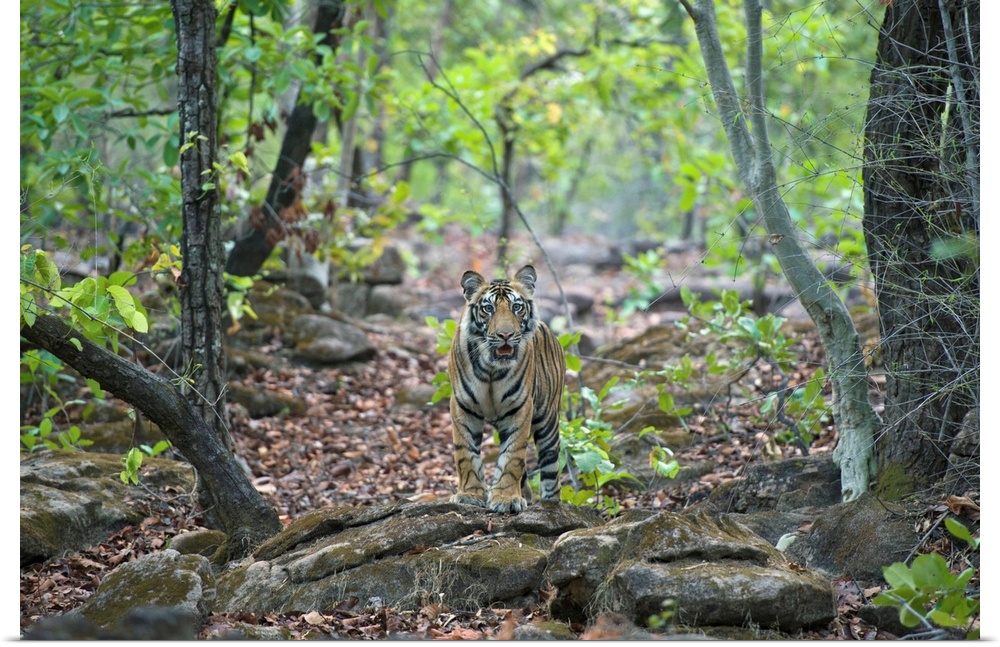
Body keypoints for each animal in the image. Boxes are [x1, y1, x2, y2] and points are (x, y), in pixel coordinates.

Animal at [450, 262, 568, 512]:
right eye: (488, 309)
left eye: (516, 307)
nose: (505, 334)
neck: (490, 369)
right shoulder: (462, 406)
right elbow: (465, 453)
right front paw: (469, 494)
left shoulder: (520, 407)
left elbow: (513, 456)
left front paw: (505, 498)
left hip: (548, 421)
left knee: (551, 471)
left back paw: (551, 504)